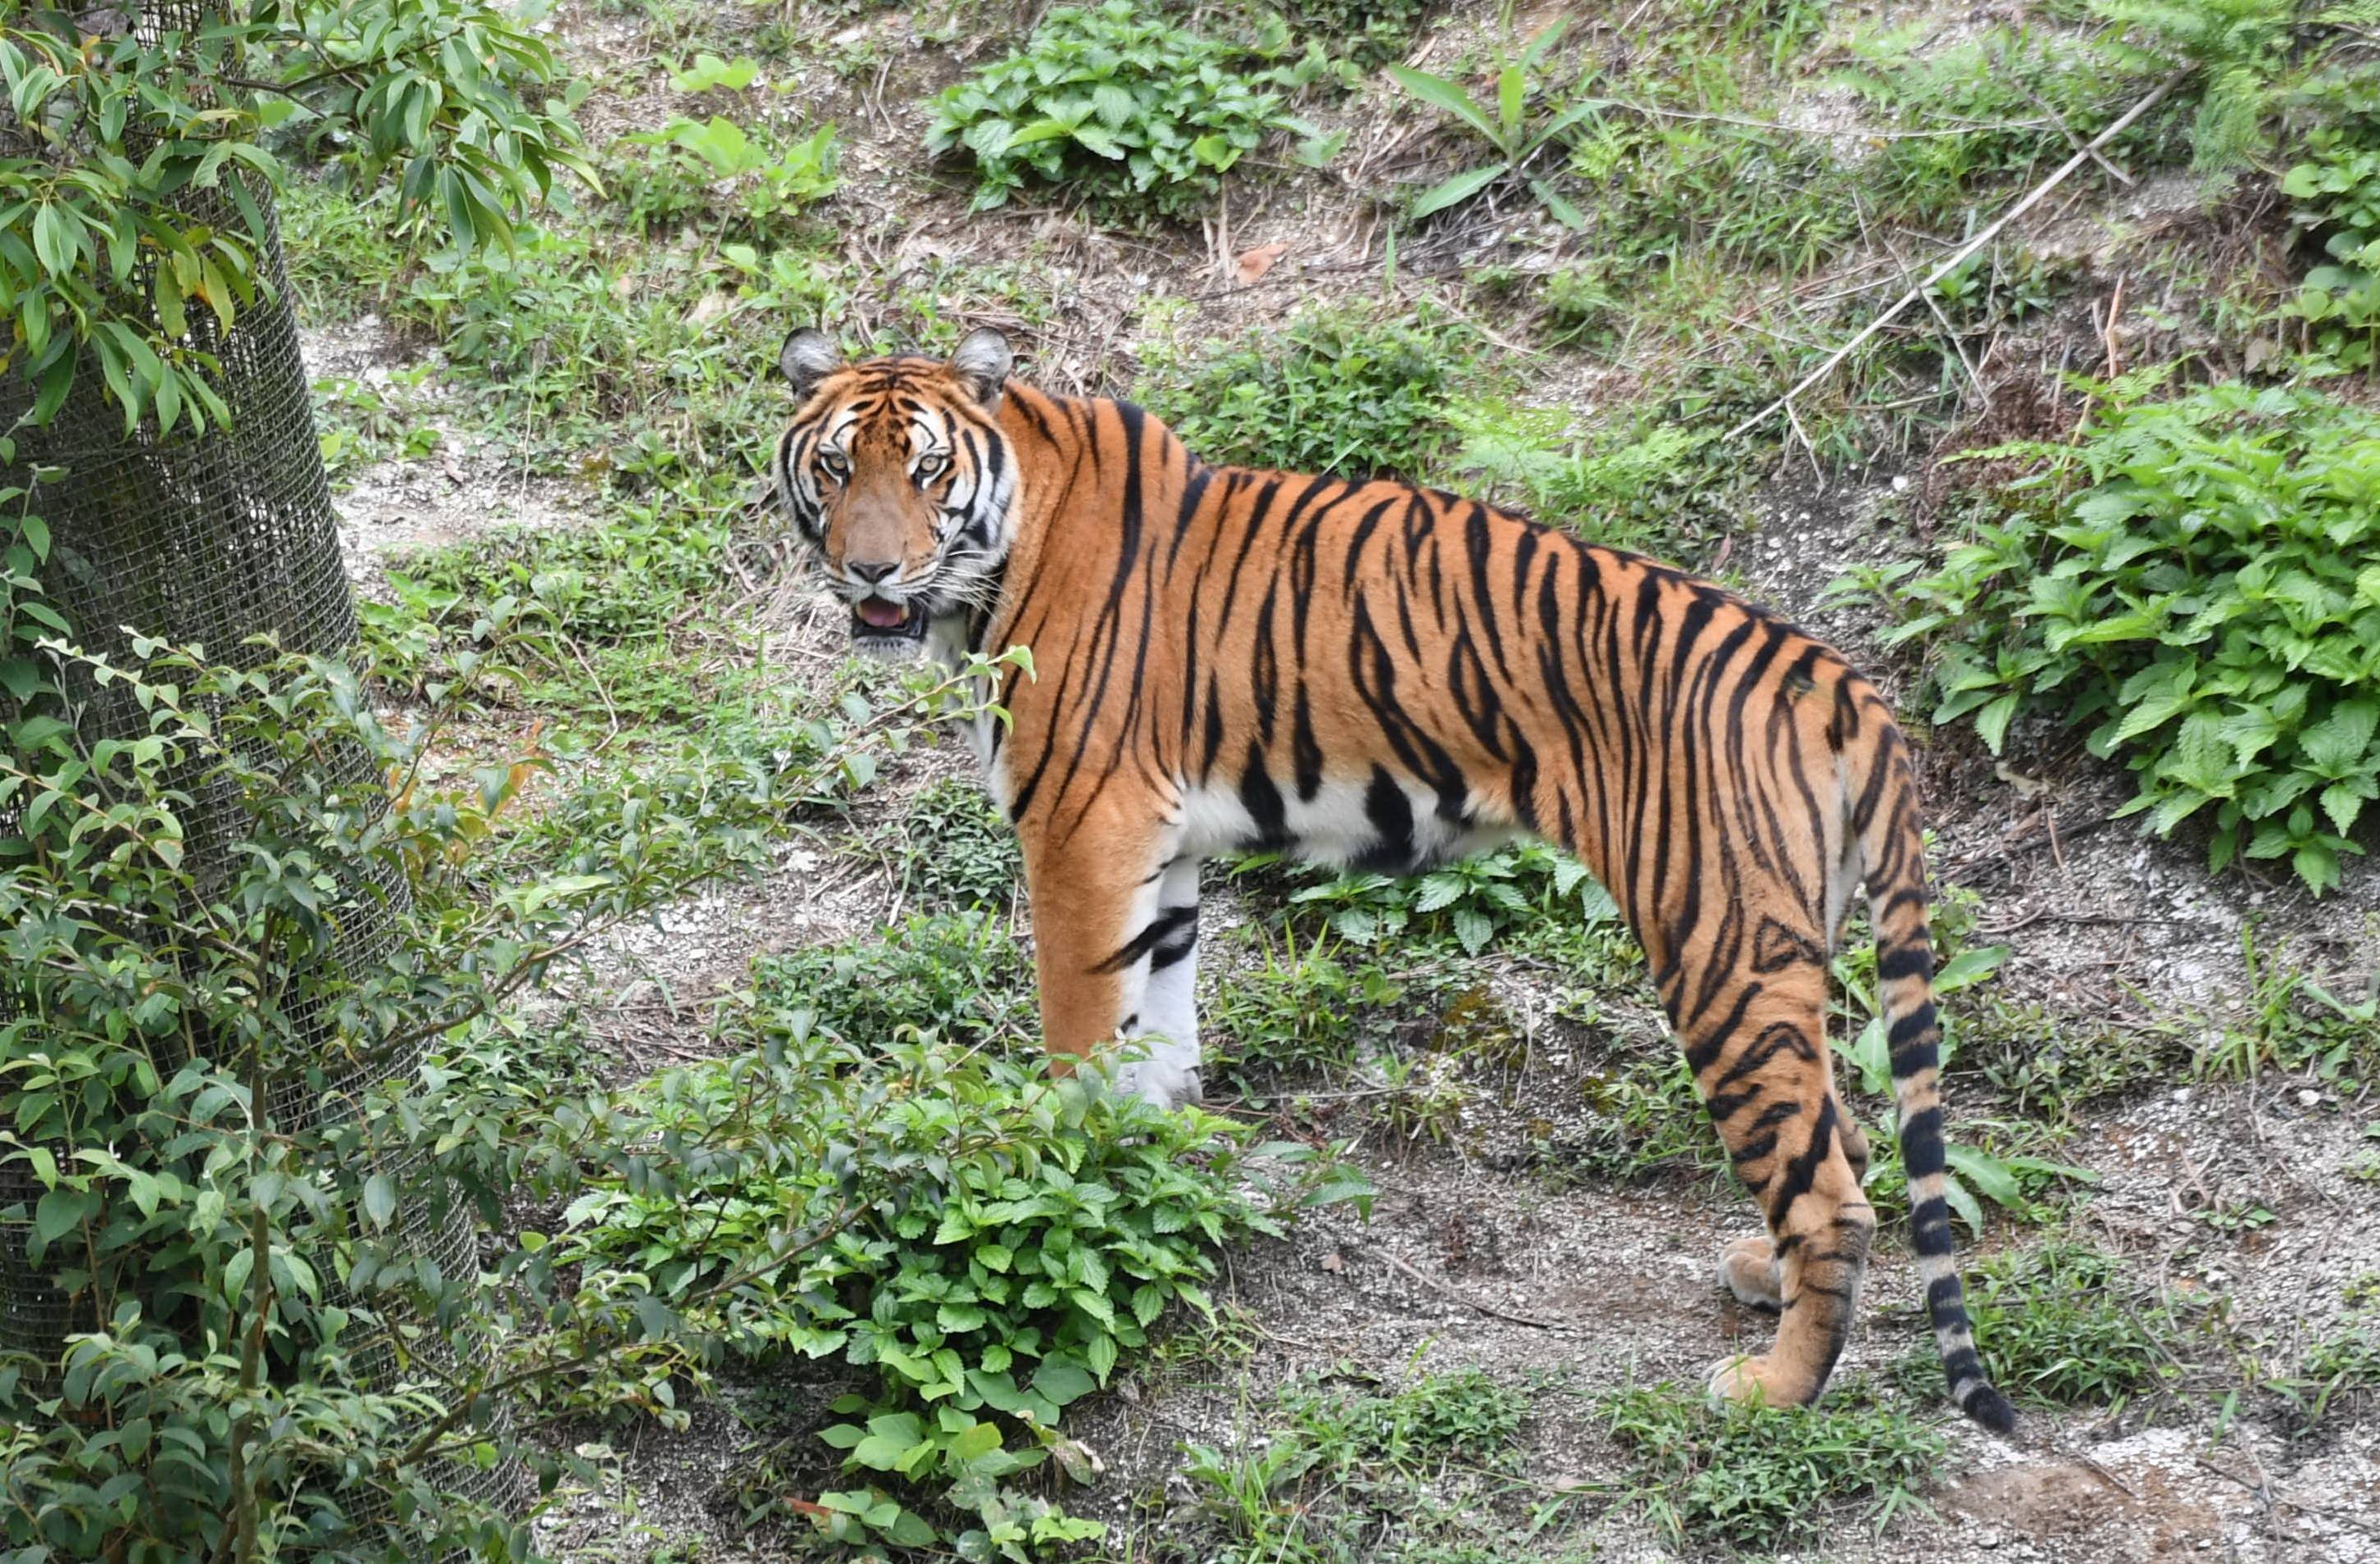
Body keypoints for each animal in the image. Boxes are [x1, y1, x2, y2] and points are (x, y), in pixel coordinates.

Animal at [770, 323, 2018, 1438]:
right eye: (837, 467)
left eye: (927, 469)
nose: (869, 567)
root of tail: (1831, 674)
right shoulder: (1157, 851)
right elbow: (1158, 1032)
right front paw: (1154, 1179)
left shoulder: (1084, 834)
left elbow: (1081, 1046)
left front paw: (1069, 1192)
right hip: (1790, 942)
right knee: (1844, 1139)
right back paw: (1764, 1276)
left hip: (1720, 941)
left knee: (1830, 1188)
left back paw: (1777, 1389)